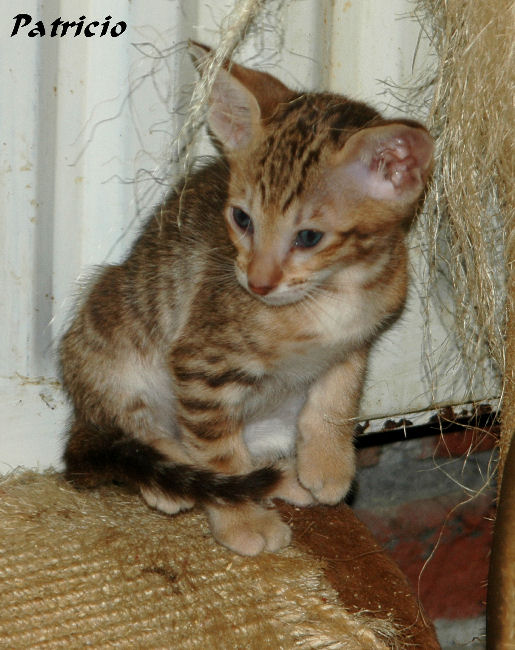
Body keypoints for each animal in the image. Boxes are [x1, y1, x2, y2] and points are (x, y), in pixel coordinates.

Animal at [60, 42, 433, 556]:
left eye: (309, 237)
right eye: (241, 218)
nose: (257, 283)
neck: (334, 294)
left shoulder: (356, 341)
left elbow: (339, 396)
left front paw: (328, 462)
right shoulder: (201, 363)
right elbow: (217, 454)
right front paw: (241, 519)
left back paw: (285, 476)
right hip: (111, 337)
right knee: (136, 429)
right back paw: (170, 480)